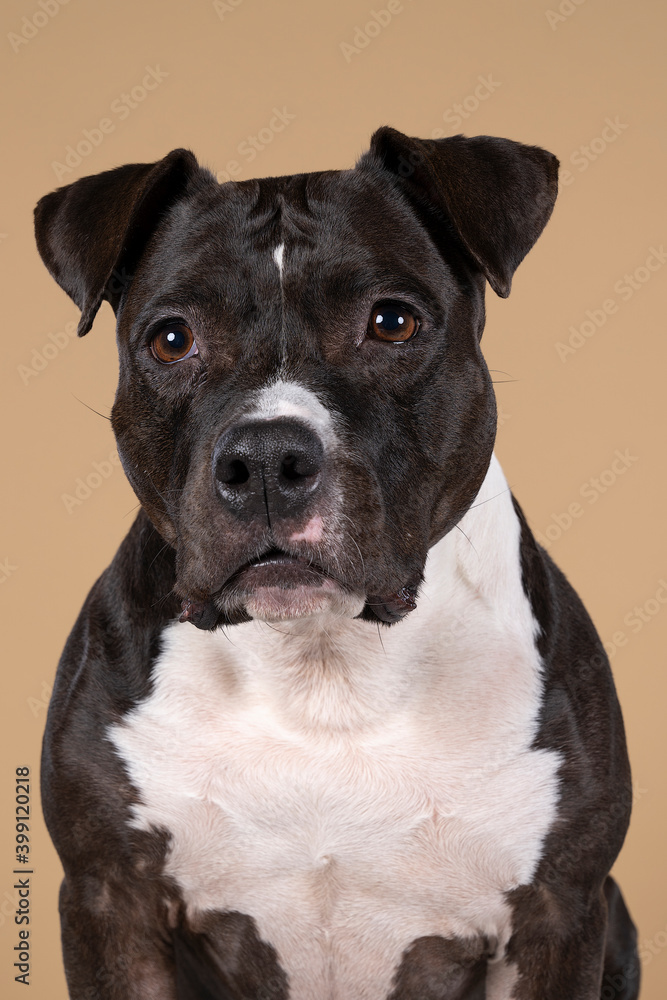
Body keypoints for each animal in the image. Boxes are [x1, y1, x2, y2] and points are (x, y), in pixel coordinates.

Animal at [34, 129, 640, 996]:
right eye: (172, 338)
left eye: (391, 322)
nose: (264, 459)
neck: (322, 665)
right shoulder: (110, 900)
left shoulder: (560, 910)